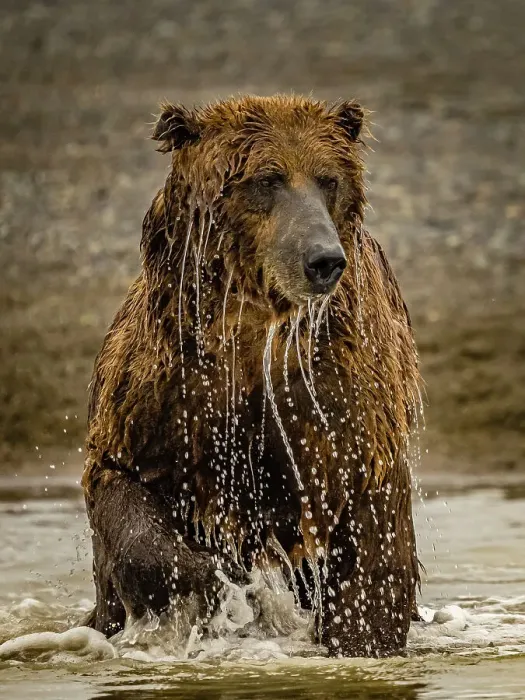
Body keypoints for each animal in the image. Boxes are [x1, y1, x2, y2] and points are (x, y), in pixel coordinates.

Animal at [81, 95, 421, 658]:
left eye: (328, 179)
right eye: (268, 179)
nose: (323, 260)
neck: (255, 331)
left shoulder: (339, 400)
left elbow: (370, 531)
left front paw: (361, 639)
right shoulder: (158, 394)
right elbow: (120, 486)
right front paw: (209, 579)